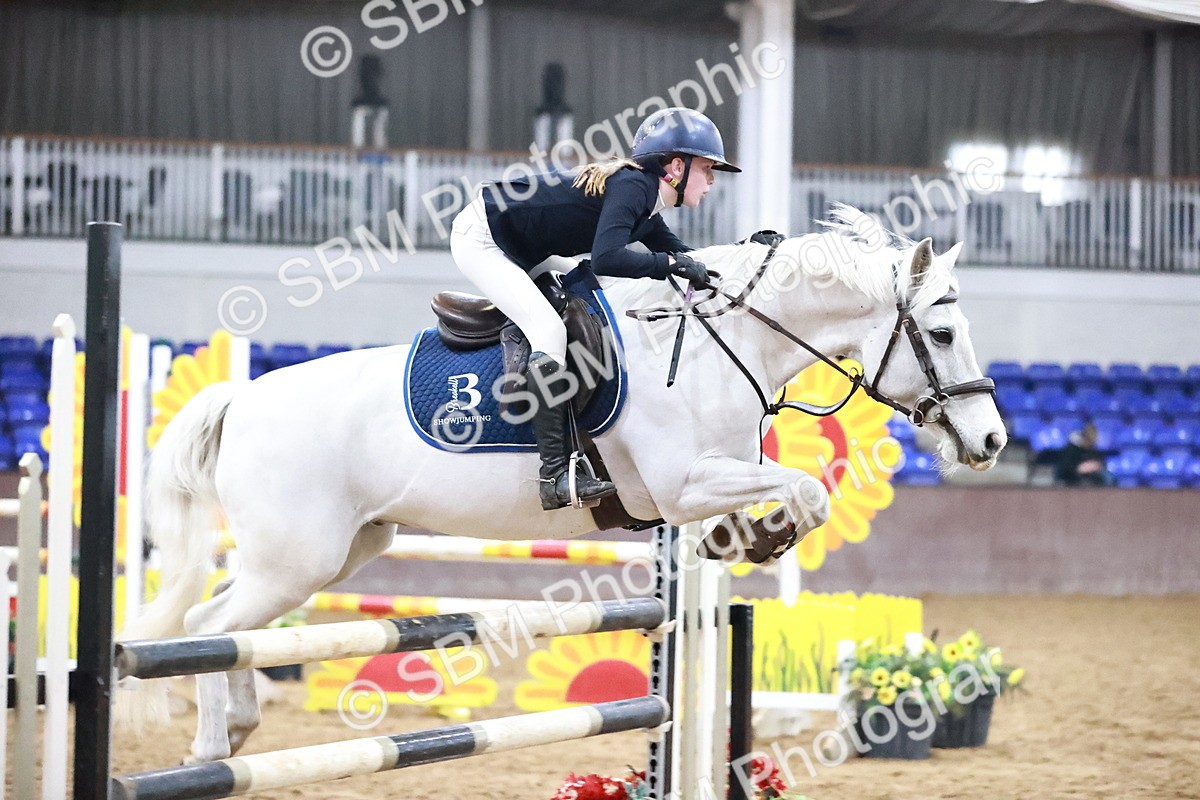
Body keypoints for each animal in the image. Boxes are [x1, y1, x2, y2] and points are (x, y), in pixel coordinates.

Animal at [119, 206, 1007, 764]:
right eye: (941, 332)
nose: (994, 440)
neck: (722, 342)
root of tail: (243, 397)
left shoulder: (705, 479)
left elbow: (792, 490)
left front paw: (746, 536)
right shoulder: (679, 487)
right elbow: (807, 490)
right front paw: (763, 535)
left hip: (337, 552)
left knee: (235, 625)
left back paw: (239, 727)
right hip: (295, 557)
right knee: (207, 622)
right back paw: (212, 745)